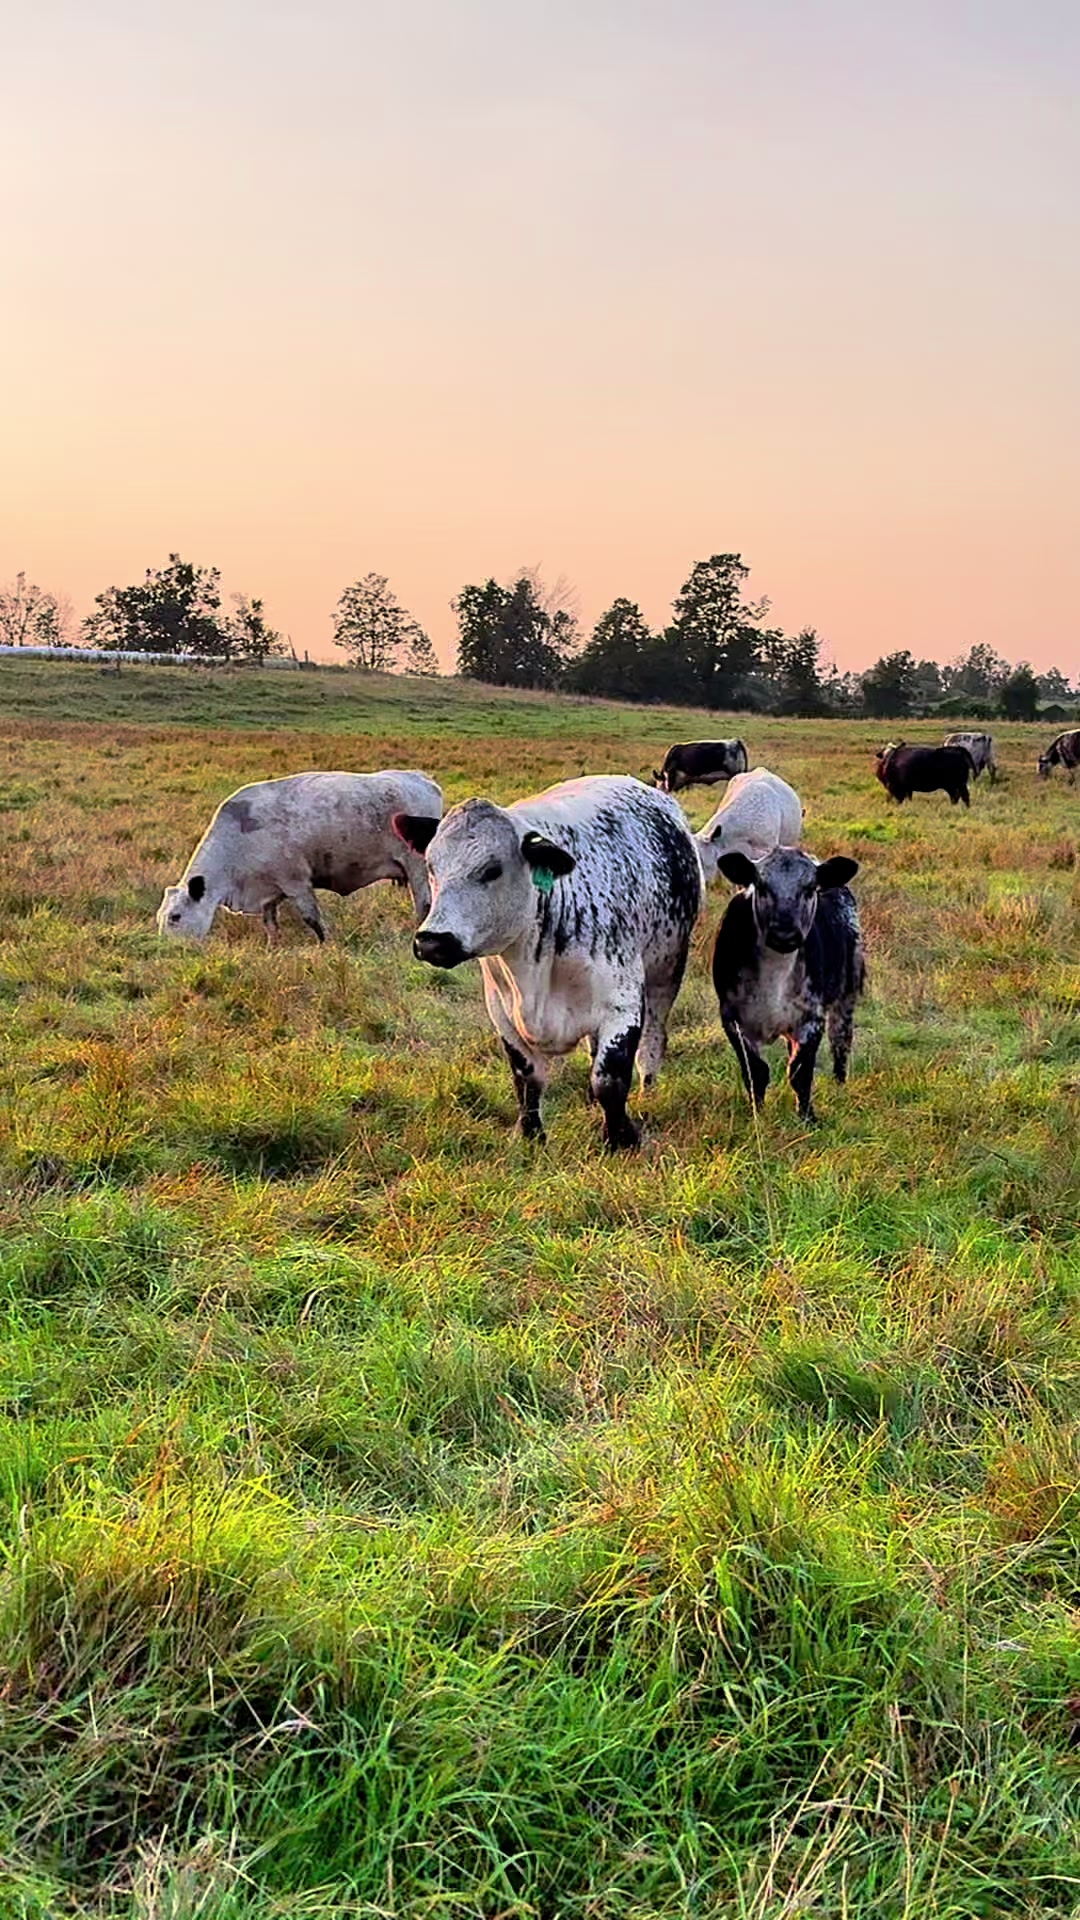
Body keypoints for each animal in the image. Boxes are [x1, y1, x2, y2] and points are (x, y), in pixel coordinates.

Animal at [156, 770, 442, 943]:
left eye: (175, 917)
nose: (168, 949)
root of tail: (421, 778)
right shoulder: (268, 890)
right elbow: (270, 924)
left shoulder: (296, 882)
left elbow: (312, 919)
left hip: (417, 870)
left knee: (424, 905)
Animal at [394, 775, 703, 1150]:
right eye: (431, 867)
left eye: (492, 870)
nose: (432, 941)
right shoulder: (502, 1010)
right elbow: (527, 1078)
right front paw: (530, 1134)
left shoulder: (622, 1003)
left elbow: (610, 1078)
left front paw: (621, 1138)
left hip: (667, 969)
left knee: (653, 1039)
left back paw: (648, 1085)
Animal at [711, 846, 865, 1122]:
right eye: (761, 886)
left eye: (810, 888)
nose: (784, 935)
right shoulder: (732, 1018)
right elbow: (756, 1071)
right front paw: (758, 1115)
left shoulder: (812, 1017)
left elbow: (800, 1072)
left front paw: (807, 1117)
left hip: (847, 992)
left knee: (841, 1040)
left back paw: (839, 1084)